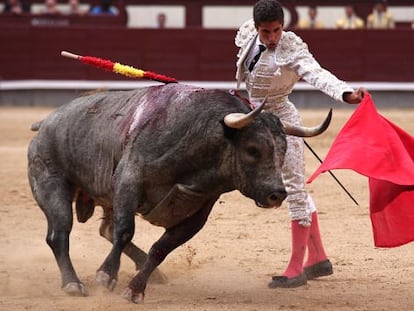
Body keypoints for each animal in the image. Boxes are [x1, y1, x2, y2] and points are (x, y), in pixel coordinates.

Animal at [27, 83, 332, 304]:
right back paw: (73, 284)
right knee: (60, 234)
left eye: (283, 152)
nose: (276, 194)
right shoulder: (129, 180)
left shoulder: (198, 210)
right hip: (53, 183)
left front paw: (136, 288)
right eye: (252, 149)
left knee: (105, 230)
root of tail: (45, 122)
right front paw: (106, 276)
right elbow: (125, 231)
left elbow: (161, 248)